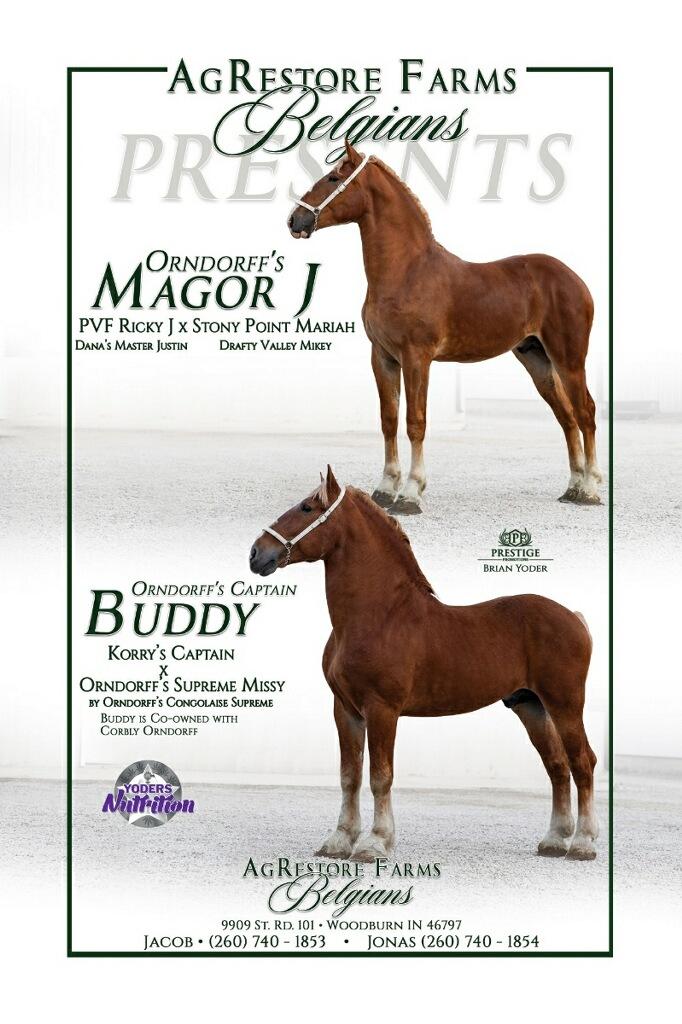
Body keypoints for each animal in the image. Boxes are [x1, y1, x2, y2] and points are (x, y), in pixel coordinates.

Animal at [249, 466, 599, 862]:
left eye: (307, 508)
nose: (257, 553)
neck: (378, 616)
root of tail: (574, 617)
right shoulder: (345, 710)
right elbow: (349, 776)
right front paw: (338, 841)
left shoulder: (382, 709)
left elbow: (380, 776)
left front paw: (375, 843)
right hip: (530, 706)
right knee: (557, 766)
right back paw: (554, 841)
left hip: (565, 704)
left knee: (582, 762)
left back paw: (582, 844)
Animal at [288, 140, 602, 513]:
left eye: (333, 177)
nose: (295, 220)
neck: (406, 270)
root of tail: (575, 279)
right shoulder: (383, 357)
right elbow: (388, 420)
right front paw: (385, 489)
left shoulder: (416, 357)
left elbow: (415, 422)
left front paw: (410, 493)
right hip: (536, 359)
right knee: (566, 416)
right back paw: (573, 488)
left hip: (569, 359)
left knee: (585, 412)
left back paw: (591, 489)